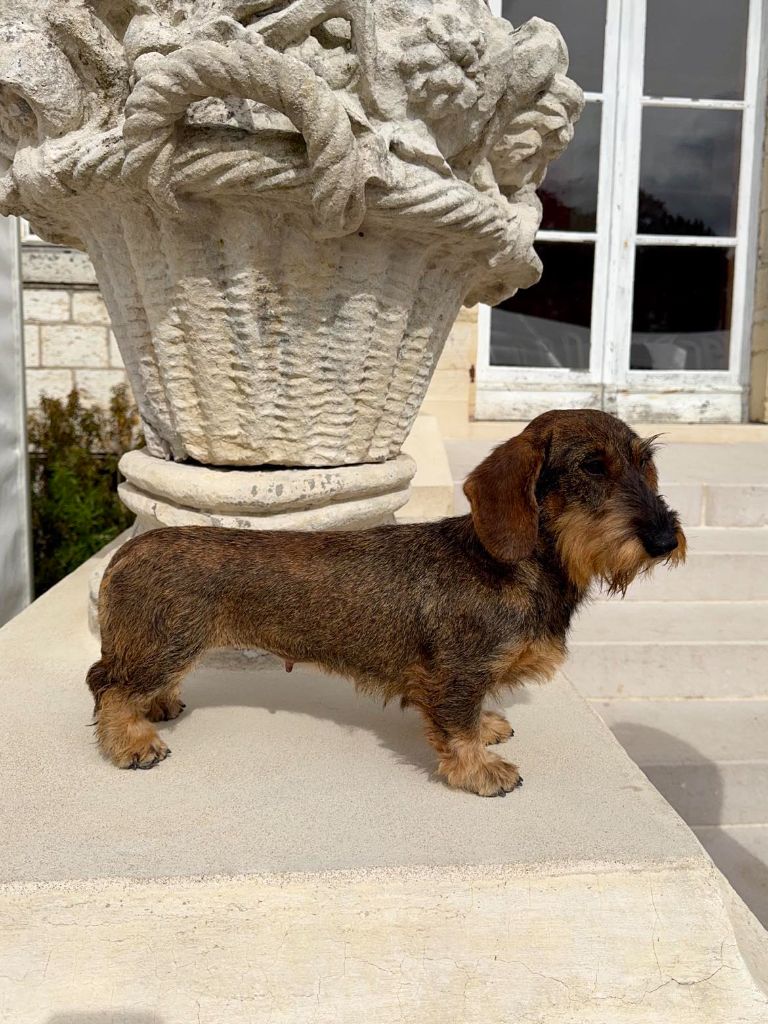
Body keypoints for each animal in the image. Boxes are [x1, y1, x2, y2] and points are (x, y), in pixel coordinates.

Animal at [85, 411, 684, 794]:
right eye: (591, 467)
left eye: (644, 463)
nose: (664, 539)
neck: (516, 565)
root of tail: (126, 552)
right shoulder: (456, 674)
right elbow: (457, 727)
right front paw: (480, 771)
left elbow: (473, 717)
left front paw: (489, 726)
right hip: (166, 644)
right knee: (108, 687)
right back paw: (132, 743)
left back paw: (158, 706)